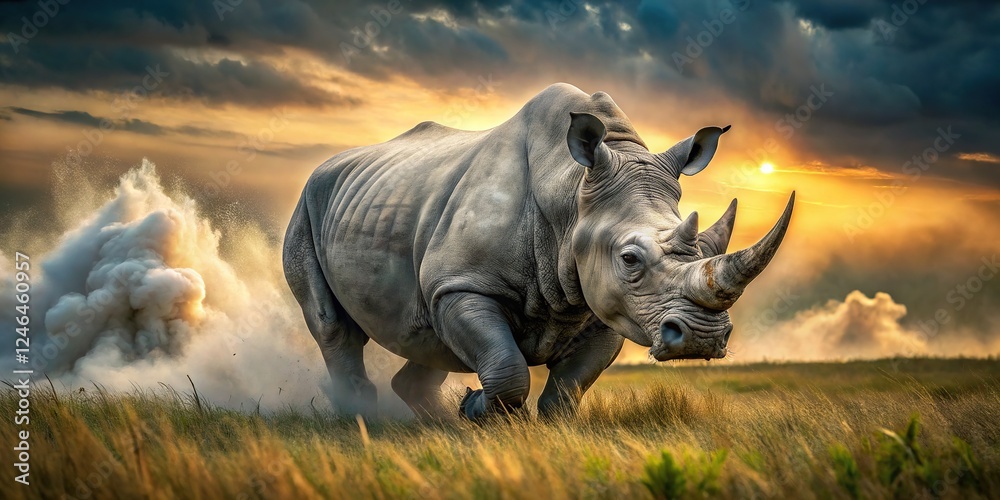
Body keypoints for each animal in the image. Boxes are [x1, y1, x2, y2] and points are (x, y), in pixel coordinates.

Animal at [283, 83, 794, 420]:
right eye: (629, 259)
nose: (702, 339)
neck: (570, 193)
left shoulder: (603, 303)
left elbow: (567, 390)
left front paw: (507, 418)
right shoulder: (461, 285)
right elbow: (507, 369)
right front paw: (477, 408)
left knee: (425, 340)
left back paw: (436, 427)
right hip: (307, 205)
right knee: (333, 328)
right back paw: (362, 420)